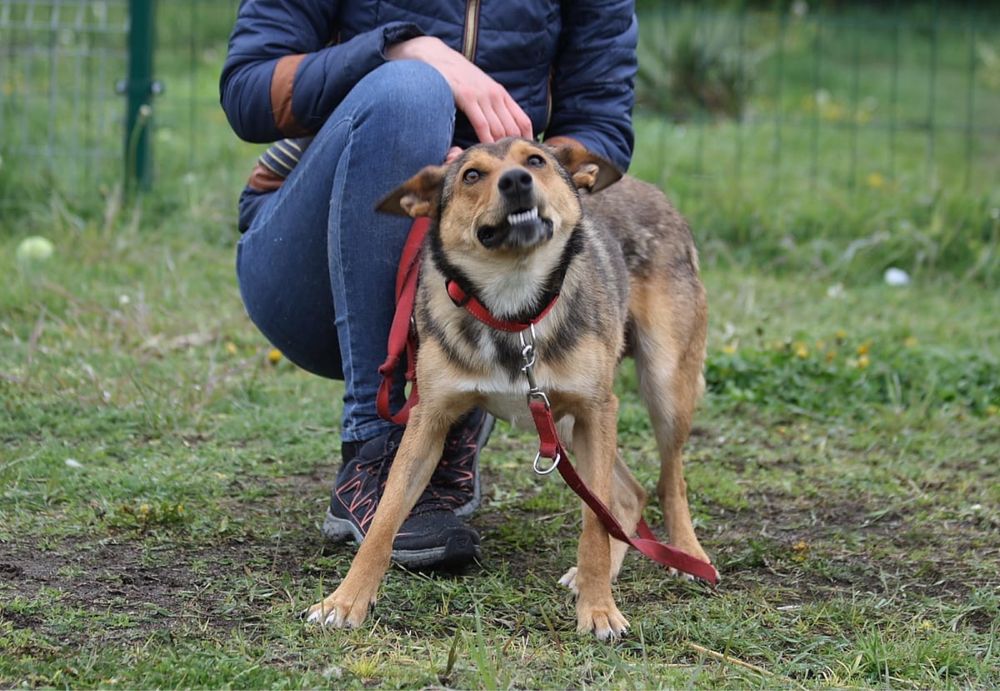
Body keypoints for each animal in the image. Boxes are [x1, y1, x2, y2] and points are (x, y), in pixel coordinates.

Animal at [302, 138, 712, 640]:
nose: (517, 181)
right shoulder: (429, 420)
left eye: (535, 160)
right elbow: (384, 519)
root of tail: (652, 191)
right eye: (471, 175)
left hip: (663, 383)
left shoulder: (598, 409)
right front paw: (346, 600)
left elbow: (594, 527)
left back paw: (686, 555)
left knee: (667, 480)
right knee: (628, 494)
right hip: (567, 426)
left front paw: (599, 610)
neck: (514, 309)